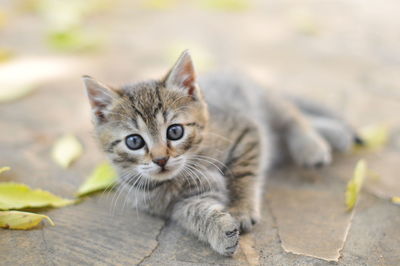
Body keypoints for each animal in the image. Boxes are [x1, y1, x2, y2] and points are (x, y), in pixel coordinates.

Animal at [83, 50, 358, 256]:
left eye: (175, 131)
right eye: (134, 141)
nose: (161, 159)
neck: (190, 163)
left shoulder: (247, 130)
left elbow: (243, 174)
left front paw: (241, 208)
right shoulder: (179, 204)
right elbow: (196, 213)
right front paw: (219, 230)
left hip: (264, 101)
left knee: (292, 115)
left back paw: (312, 145)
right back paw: (337, 133)